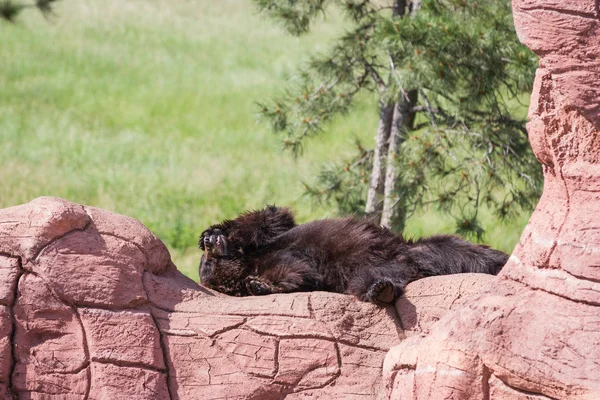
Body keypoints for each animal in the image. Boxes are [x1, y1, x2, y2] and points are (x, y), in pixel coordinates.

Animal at [198, 206, 506, 306]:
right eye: (208, 265)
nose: (211, 246)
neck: (249, 262)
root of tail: (410, 262)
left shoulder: (269, 243)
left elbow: (272, 219)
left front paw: (213, 231)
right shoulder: (271, 264)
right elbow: (298, 274)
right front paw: (259, 285)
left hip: (424, 247)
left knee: (467, 251)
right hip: (369, 269)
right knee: (365, 281)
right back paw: (381, 290)